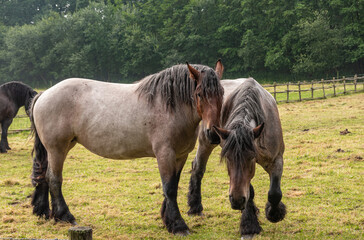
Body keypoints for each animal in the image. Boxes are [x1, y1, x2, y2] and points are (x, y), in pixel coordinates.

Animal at [30, 61, 225, 235]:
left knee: (45, 176)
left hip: (57, 149)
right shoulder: (165, 154)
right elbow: (169, 188)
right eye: (199, 94)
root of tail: (44, 94)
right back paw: (65, 216)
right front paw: (178, 226)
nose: (213, 134)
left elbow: (173, 187)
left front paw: (168, 220)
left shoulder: (180, 156)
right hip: (57, 149)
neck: (170, 107)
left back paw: (45, 212)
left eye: (221, 93)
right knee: (54, 179)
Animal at [188, 78, 288, 237]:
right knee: (198, 168)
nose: (235, 200)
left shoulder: (277, 159)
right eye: (227, 158)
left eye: (251, 156)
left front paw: (274, 214)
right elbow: (250, 192)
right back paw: (195, 207)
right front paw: (249, 225)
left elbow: (274, 192)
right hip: (206, 139)